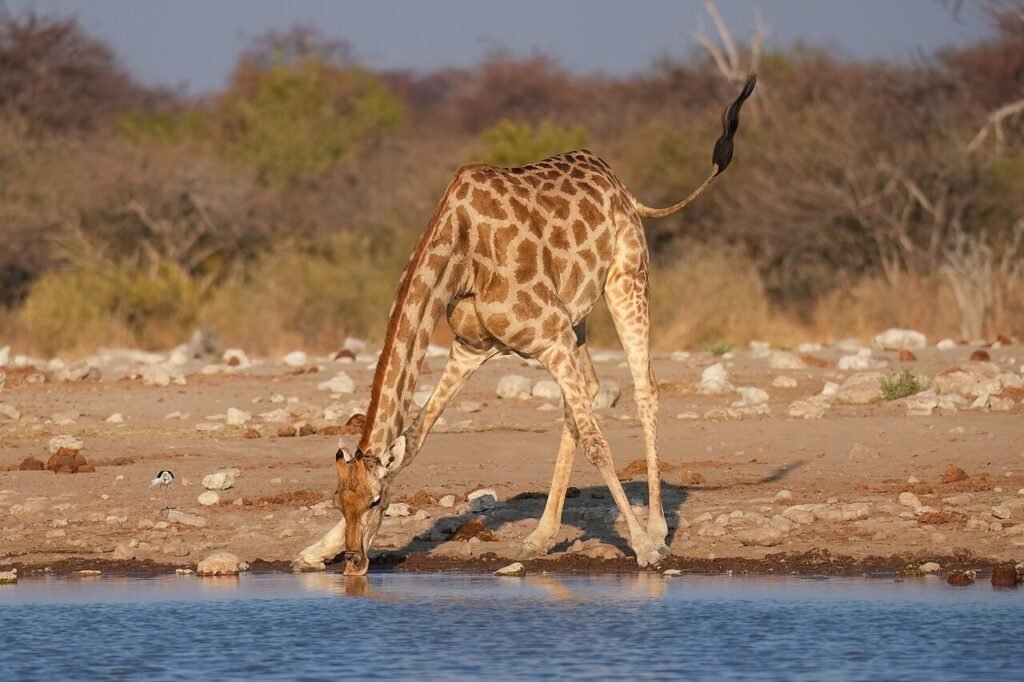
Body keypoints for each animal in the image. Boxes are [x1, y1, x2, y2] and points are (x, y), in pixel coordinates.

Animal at [294, 74, 757, 575]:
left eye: (378, 501)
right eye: (339, 501)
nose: (355, 563)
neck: (460, 253)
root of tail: (622, 187)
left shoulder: (548, 337)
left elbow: (598, 442)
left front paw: (643, 548)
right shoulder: (471, 347)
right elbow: (414, 438)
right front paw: (314, 551)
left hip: (626, 280)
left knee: (644, 387)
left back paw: (655, 530)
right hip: (575, 321)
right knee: (588, 392)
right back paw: (540, 536)